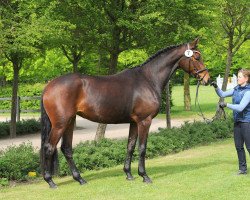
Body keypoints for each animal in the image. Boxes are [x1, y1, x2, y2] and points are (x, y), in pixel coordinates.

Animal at [41, 38, 211, 189]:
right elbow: (142, 147)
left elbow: (130, 145)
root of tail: (49, 86)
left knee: (66, 149)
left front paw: (129, 174)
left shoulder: (134, 122)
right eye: (197, 57)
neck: (148, 79)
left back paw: (80, 179)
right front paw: (144, 176)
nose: (206, 79)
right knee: (49, 147)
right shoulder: (144, 121)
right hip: (60, 124)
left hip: (70, 121)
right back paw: (50, 181)